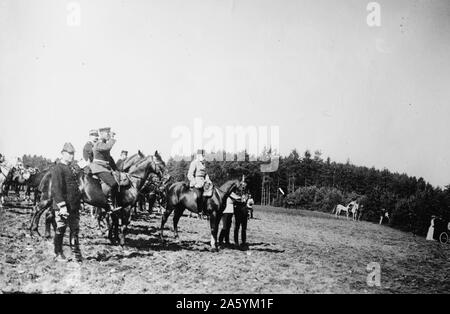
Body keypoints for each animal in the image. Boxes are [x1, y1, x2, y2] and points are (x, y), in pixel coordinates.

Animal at [30, 151, 169, 245]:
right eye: (161, 163)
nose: (167, 178)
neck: (131, 181)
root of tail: (51, 172)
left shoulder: (115, 209)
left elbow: (114, 223)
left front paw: (113, 238)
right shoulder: (126, 207)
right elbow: (123, 224)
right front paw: (121, 242)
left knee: (47, 214)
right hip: (49, 200)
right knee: (38, 210)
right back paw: (34, 231)